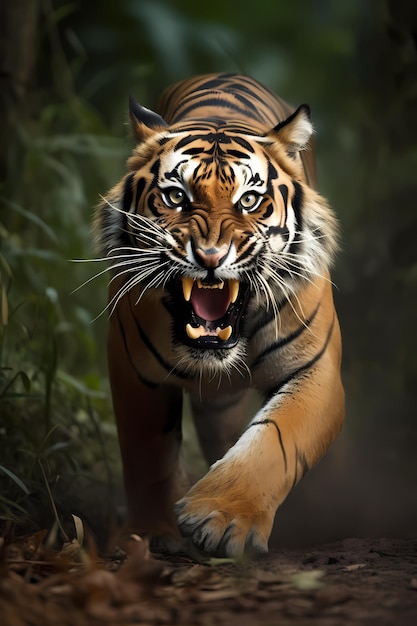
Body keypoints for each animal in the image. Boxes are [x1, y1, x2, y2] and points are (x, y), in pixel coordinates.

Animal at [95, 73, 344, 556]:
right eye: (176, 196)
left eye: (249, 200)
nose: (210, 256)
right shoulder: (132, 366)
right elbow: (146, 452)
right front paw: (152, 534)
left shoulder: (316, 367)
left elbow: (276, 438)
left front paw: (220, 517)